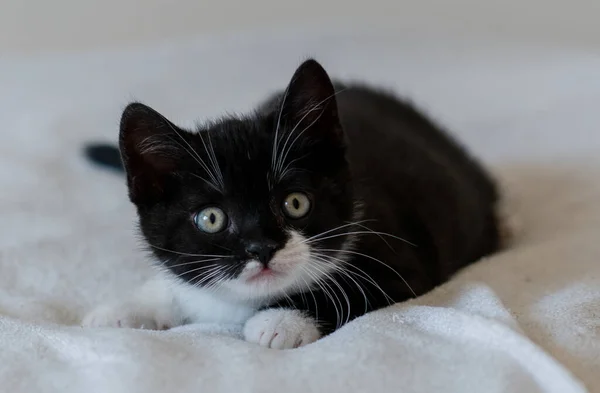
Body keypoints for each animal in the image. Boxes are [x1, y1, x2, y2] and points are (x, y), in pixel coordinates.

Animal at [82, 57, 506, 346]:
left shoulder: (402, 261)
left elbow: (350, 291)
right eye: (211, 219)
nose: (261, 247)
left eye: (296, 203)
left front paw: (280, 322)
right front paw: (124, 310)